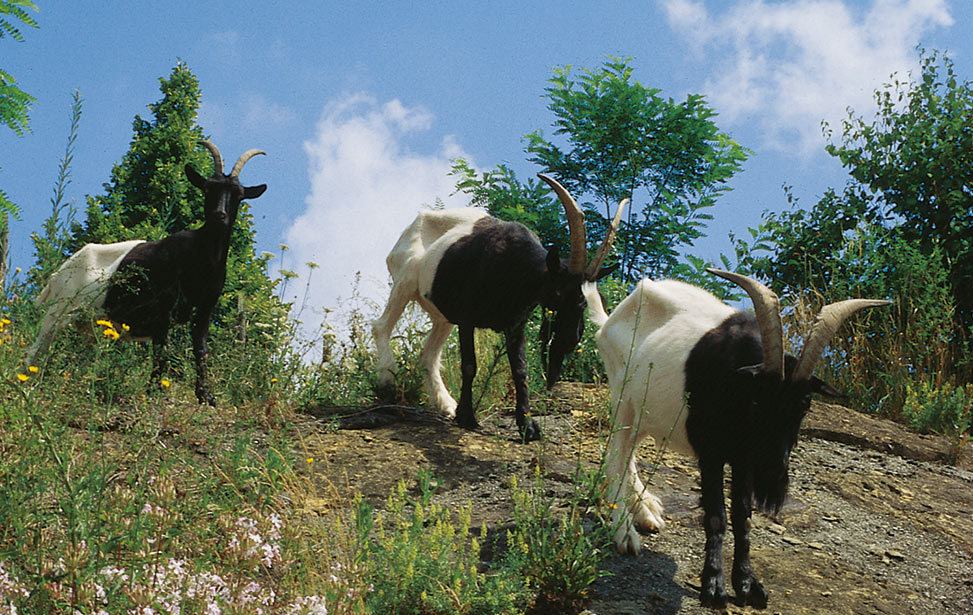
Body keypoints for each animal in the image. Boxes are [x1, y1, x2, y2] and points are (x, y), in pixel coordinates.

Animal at [26, 142, 266, 406]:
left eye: (239, 195)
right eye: (207, 188)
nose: (219, 215)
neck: (200, 255)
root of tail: (57, 276)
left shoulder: (205, 307)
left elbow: (200, 348)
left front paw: (206, 396)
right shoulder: (163, 309)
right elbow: (162, 351)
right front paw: (154, 393)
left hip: (84, 323)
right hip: (61, 311)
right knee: (37, 348)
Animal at [372, 174, 624, 442]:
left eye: (585, 301)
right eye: (558, 292)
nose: (571, 339)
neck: (512, 263)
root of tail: (415, 223)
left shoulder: (515, 324)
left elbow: (520, 370)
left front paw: (528, 426)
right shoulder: (467, 318)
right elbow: (469, 365)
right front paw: (467, 418)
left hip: (443, 316)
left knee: (428, 356)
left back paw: (446, 404)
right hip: (406, 278)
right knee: (381, 326)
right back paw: (387, 379)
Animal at [580, 268, 884, 608]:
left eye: (805, 404)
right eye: (756, 399)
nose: (772, 475)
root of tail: (610, 319)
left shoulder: (744, 460)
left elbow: (743, 518)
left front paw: (748, 584)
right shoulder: (711, 453)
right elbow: (717, 516)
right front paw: (714, 586)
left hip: (647, 411)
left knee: (630, 451)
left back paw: (646, 511)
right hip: (623, 396)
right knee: (616, 454)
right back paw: (624, 533)